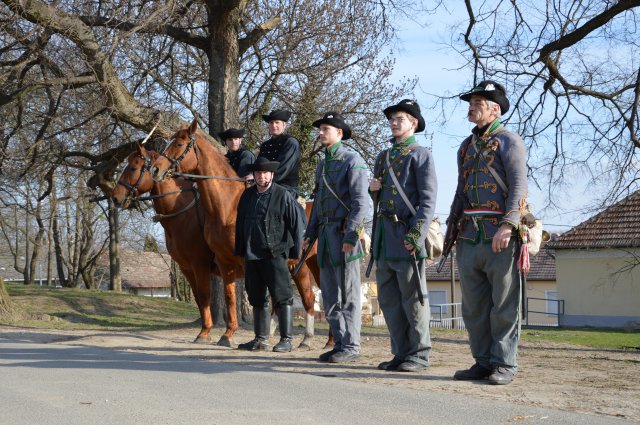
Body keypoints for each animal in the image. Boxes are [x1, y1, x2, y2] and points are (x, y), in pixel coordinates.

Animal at [111, 144, 219, 342]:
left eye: (133, 167)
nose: (115, 197)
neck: (183, 213)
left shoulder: (200, 264)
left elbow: (204, 294)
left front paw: (205, 332)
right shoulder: (186, 267)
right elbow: (198, 297)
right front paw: (204, 330)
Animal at [151, 118, 330, 348]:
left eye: (180, 144)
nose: (155, 170)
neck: (227, 208)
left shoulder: (248, 262)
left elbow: (257, 299)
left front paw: (256, 338)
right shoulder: (224, 262)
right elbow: (229, 297)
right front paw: (227, 335)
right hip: (302, 267)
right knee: (308, 298)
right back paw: (308, 340)